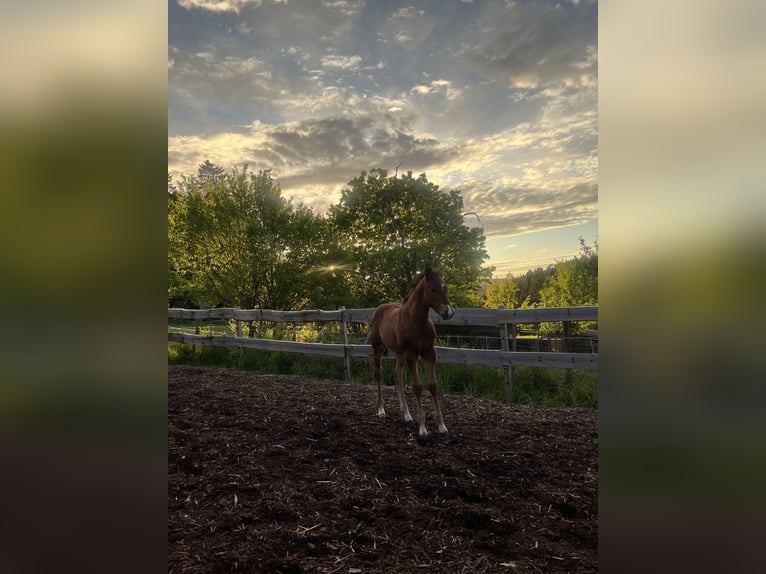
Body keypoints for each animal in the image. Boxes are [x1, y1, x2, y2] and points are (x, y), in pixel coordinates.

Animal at [369, 265, 454, 436]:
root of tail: (381, 308)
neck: (417, 321)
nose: (448, 313)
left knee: (397, 376)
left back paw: (407, 415)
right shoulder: (411, 354)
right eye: (432, 289)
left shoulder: (429, 353)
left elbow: (433, 386)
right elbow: (417, 387)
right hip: (378, 348)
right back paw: (381, 410)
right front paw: (423, 429)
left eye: (446, 288)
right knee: (378, 374)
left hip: (399, 353)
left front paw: (442, 426)